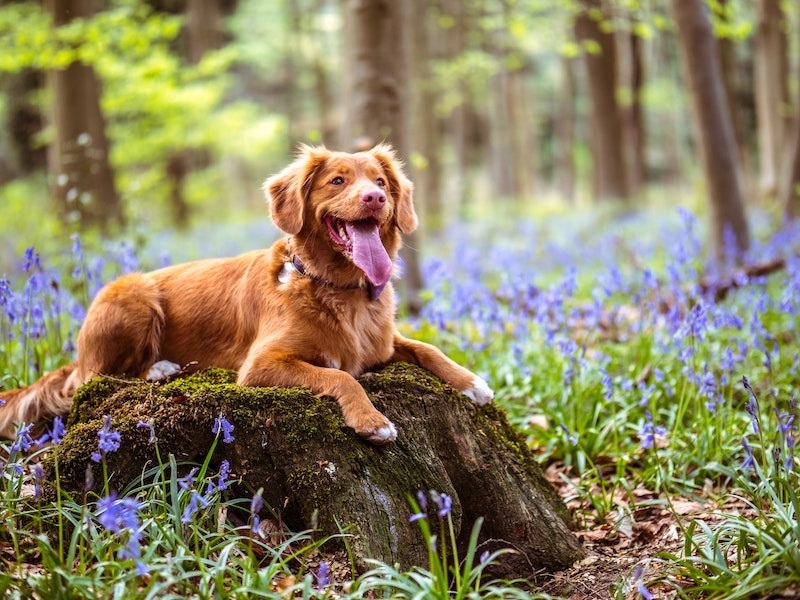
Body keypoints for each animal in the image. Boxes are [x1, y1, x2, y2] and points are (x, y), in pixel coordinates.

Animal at [0, 144, 490, 446]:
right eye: (337, 181)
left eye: (382, 182)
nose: (374, 198)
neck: (338, 290)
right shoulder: (260, 365)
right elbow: (341, 376)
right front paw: (372, 421)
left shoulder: (383, 344)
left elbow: (426, 348)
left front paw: (472, 382)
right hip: (132, 294)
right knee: (98, 377)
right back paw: (159, 368)